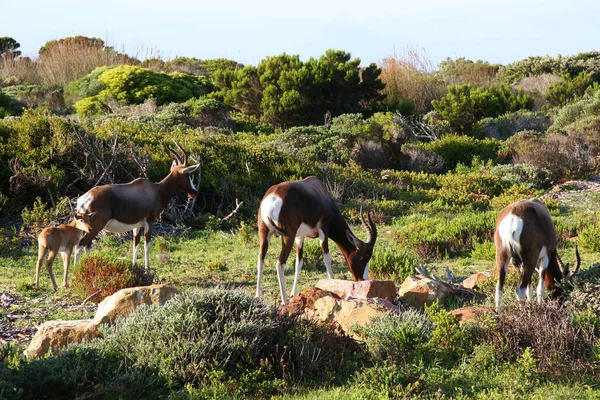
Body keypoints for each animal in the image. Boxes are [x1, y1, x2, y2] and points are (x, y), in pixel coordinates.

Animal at [74, 142, 199, 270]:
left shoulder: (137, 225)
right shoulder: (149, 221)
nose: (194, 192)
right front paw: (147, 268)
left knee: (86, 244)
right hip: (97, 225)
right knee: (81, 244)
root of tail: (84, 200)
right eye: (187, 175)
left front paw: (134, 266)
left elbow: (136, 245)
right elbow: (147, 244)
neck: (156, 190)